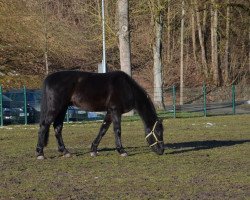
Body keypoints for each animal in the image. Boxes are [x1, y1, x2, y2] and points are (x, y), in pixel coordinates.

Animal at [35, 70, 164, 159]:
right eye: (158, 132)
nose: (161, 150)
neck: (127, 87)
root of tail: (49, 78)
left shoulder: (110, 112)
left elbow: (103, 129)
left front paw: (93, 150)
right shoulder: (115, 111)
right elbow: (117, 130)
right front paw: (122, 151)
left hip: (62, 108)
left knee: (58, 127)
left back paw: (65, 152)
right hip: (55, 108)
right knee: (44, 126)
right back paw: (40, 153)